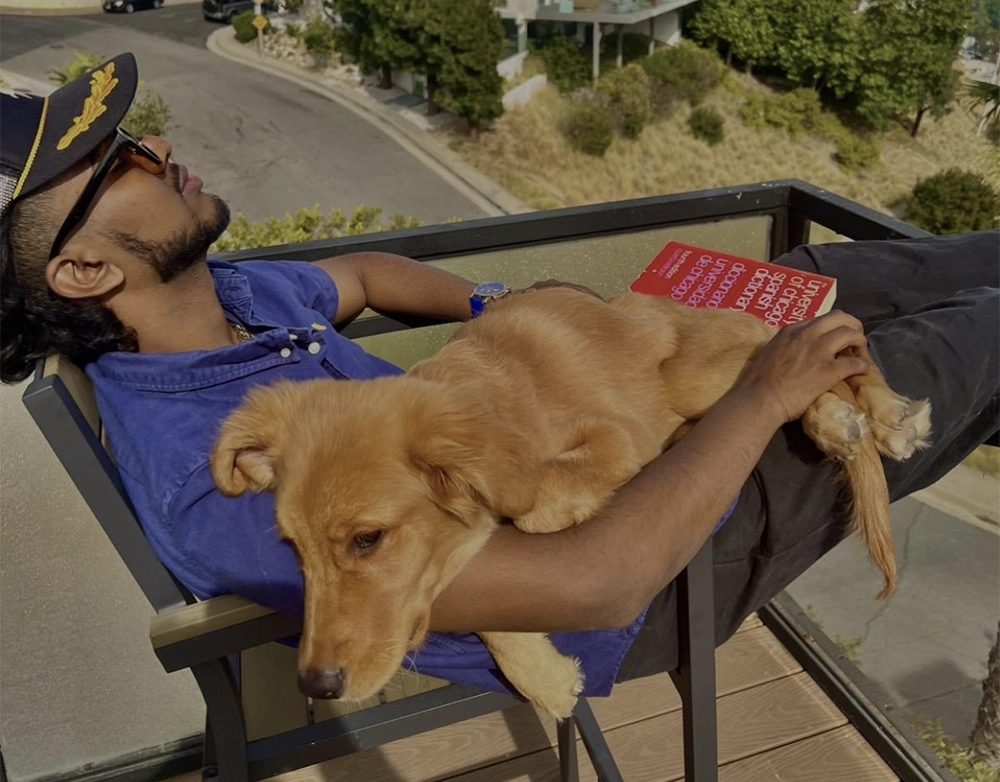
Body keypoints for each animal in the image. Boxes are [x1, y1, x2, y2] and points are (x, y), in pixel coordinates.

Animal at [211, 287, 931, 719]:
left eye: (368, 539)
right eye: (292, 550)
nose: (315, 687)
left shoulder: (615, 435)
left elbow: (533, 502)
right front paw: (546, 677)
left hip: (698, 370)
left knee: (841, 360)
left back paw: (880, 416)